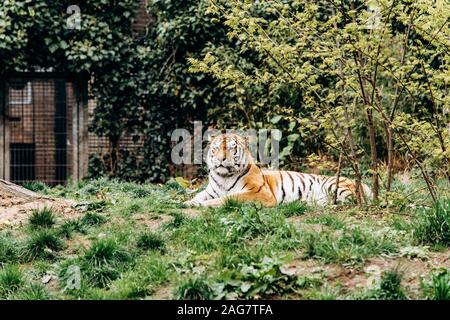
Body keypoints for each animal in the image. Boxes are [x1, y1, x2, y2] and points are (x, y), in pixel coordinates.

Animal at [184, 132, 372, 208]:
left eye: (232, 148)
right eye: (216, 148)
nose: (221, 159)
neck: (223, 176)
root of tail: (366, 186)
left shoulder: (259, 193)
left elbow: (228, 198)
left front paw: (204, 205)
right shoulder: (210, 190)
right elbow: (198, 195)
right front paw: (188, 203)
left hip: (335, 186)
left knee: (349, 201)